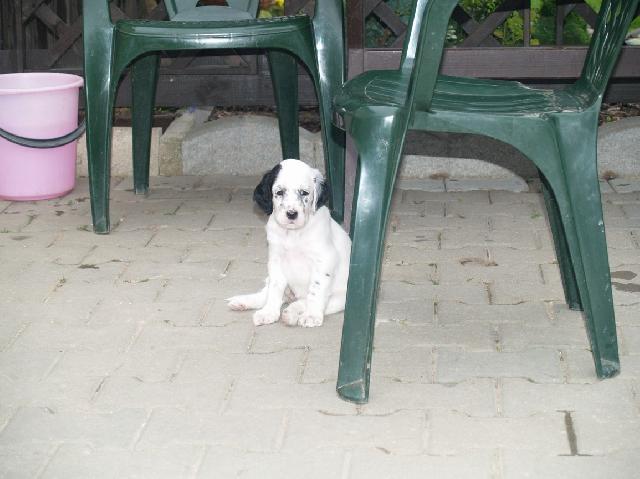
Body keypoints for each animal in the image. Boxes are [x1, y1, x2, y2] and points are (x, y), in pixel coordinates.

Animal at [228, 159, 352, 328]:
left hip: (341, 299)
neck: (293, 234)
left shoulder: (325, 259)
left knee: (307, 301)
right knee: (267, 293)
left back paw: (292, 313)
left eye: (304, 193)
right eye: (279, 192)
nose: (292, 214)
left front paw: (312, 315)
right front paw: (269, 313)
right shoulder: (275, 260)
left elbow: (316, 290)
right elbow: (274, 290)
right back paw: (244, 302)